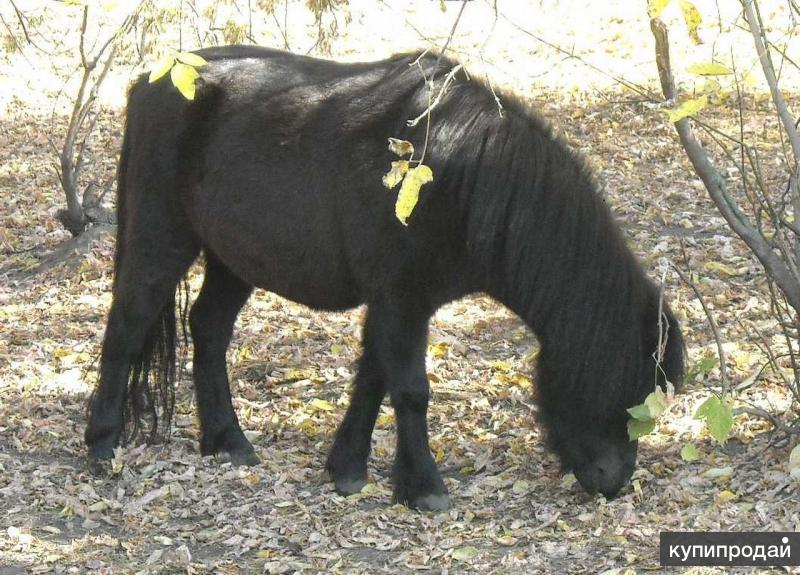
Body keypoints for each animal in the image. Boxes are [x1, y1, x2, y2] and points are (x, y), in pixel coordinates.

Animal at [84, 47, 684, 510]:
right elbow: (410, 389)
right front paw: (424, 487)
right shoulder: (400, 299)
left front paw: (347, 467)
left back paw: (227, 440)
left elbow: (373, 379)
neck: (458, 171)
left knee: (208, 328)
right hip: (162, 238)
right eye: (620, 379)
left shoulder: (398, 303)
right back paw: (101, 445)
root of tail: (154, 78)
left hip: (234, 258)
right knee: (129, 325)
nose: (614, 481)